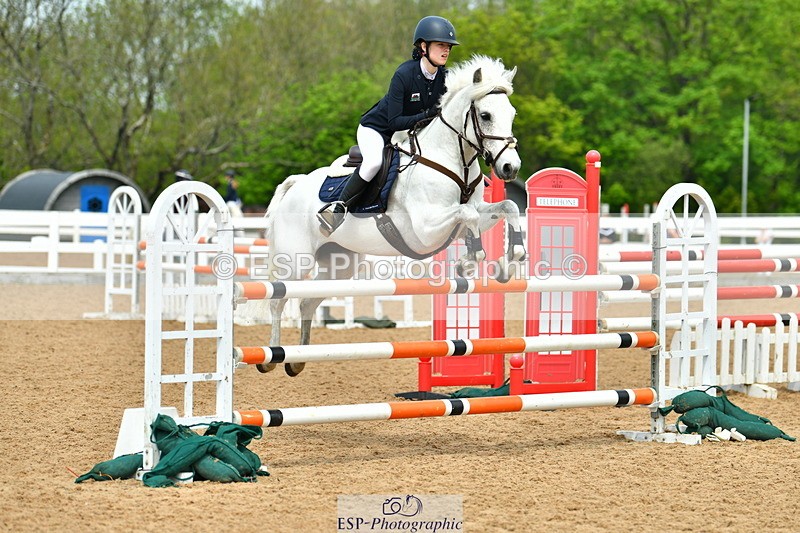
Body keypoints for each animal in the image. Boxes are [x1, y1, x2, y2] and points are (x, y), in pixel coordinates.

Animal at [260, 55, 526, 376]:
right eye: (485, 115)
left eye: (511, 114)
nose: (510, 168)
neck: (452, 160)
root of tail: (296, 184)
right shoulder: (425, 230)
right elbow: (467, 215)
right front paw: (469, 261)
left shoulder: (468, 217)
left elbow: (506, 208)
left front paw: (508, 263)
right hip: (293, 261)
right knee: (278, 300)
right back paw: (272, 356)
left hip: (339, 266)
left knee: (307, 303)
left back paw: (298, 359)